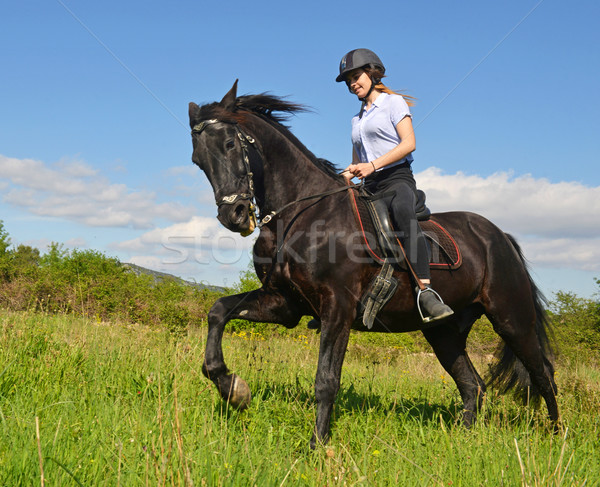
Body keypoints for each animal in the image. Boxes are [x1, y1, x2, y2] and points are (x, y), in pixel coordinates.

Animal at [188, 81, 556, 450]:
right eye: (197, 161)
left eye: (230, 144)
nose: (233, 216)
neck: (300, 215)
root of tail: (499, 236)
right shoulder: (285, 303)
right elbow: (219, 311)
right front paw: (233, 388)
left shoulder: (338, 307)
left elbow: (326, 379)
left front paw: (318, 445)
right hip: (444, 333)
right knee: (473, 385)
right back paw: (463, 440)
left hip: (512, 320)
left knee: (544, 375)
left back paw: (557, 436)